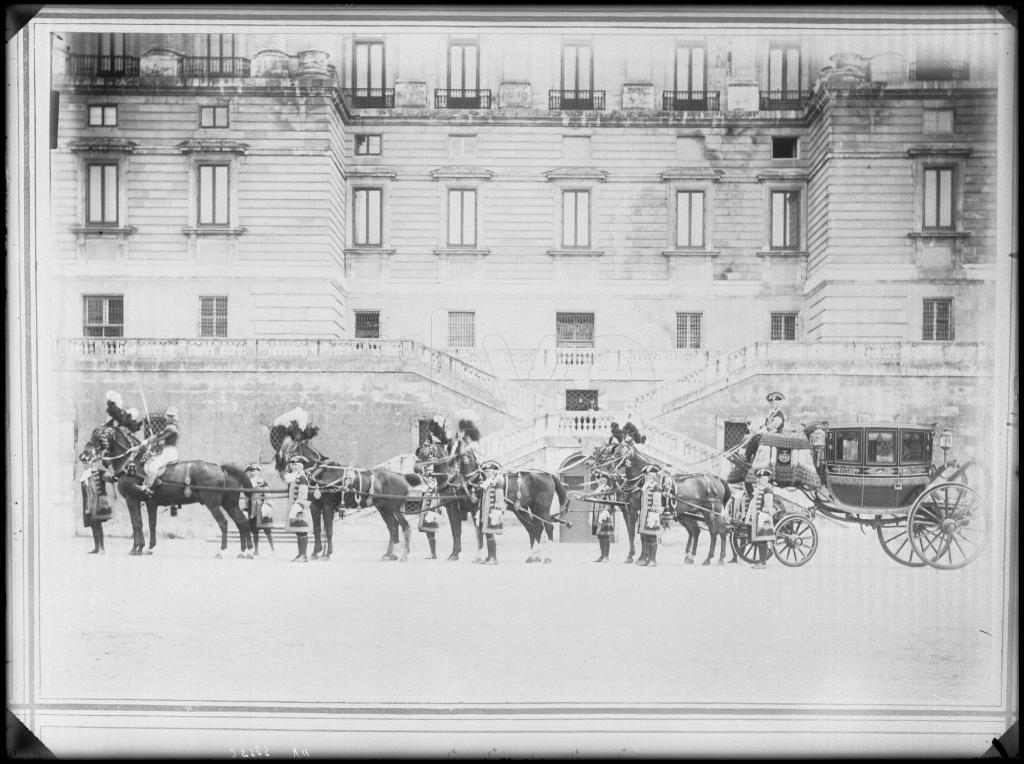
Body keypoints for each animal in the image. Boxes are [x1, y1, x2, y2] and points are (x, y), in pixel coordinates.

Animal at [80, 421, 254, 553]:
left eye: (98, 435)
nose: (84, 455)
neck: (131, 464)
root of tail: (221, 468)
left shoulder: (132, 500)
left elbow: (136, 524)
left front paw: (136, 548)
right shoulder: (150, 502)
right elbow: (149, 524)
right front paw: (147, 547)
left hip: (213, 504)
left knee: (224, 523)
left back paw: (223, 550)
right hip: (229, 503)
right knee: (242, 522)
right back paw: (245, 551)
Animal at [274, 438, 421, 557]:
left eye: (291, 450)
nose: (281, 469)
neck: (322, 472)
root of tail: (401, 475)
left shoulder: (327, 506)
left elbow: (328, 530)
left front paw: (327, 553)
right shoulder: (315, 506)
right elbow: (317, 530)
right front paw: (316, 552)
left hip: (393, 508)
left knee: (404, 526)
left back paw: (402, 555)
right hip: (384, 508)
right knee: (393, 528)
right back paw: (389, 554)